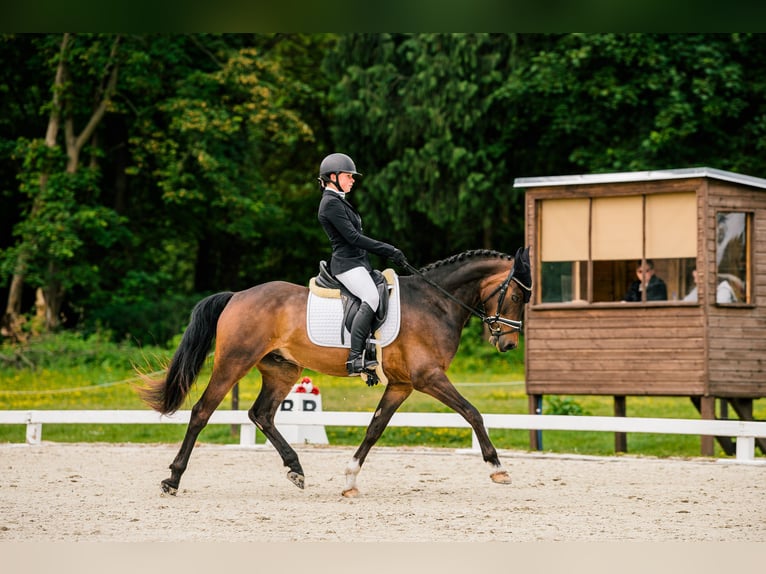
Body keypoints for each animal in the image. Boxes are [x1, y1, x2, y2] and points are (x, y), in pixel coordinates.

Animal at [138, 249, 532, 500]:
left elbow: (375, 428)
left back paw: (296, 468)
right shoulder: (428, 377)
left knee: (260, 414)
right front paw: (497, 467)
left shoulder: (402, 385)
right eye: (515, 296)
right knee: (202, 412)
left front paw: (350, 478)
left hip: (283, 369)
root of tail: (237, 296)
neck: (435, 302)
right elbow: (472, 413)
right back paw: (172, 479)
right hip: (233, 362)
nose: (508, 344)